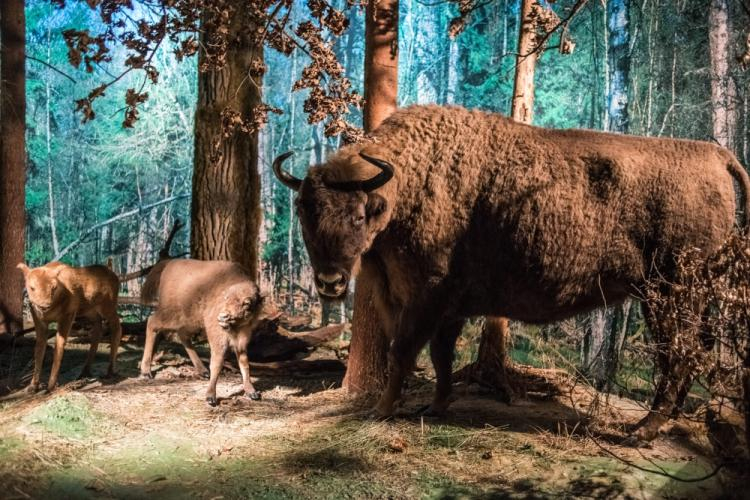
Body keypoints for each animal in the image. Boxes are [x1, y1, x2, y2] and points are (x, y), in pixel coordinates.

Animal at [16, 262, 123, 390]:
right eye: (32, 287)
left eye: (54, 287)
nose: (44, 305)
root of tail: (113, 274)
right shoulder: (40, 321)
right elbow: (39, 349)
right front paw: (32, 386)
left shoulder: (68, 315)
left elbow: (59, 345)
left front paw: (50, 386)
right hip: (90, 312)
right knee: (98, 330)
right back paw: (84, 372)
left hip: (107, 306)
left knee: (117, 327)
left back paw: (110, 371)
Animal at [140, 260, 266, 404]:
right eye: (226, 298)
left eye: (247, 303)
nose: (224, 316)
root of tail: (169, 263)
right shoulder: (218, 339)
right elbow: (217, 363)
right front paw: (210, 396)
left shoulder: (241, 341)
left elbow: (244, 363)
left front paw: (252, 392)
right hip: (171, 316)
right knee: (151, 323)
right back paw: (146, 371)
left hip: (191, 322)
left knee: (182, 336)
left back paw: (202, 370)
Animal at [274, 104, 750, 438]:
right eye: (304, 211)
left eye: (357, 215)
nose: (330, 282)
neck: (405, 185)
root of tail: (715, 154)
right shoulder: (442, 306)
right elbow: (441, 356)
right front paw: (435, 406)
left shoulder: (427, 297)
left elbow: (403, 352)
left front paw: (381, 410)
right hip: (685, 294)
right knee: (691, 351)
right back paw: (664, 423)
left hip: (668, 293)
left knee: (679, 354)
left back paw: (642, 431)